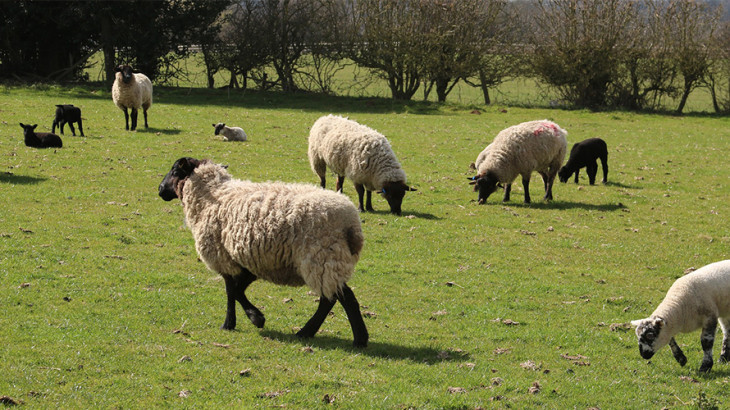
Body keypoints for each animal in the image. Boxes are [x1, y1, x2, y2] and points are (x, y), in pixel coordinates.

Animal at [156, 156, 366, 346]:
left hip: (322, 258)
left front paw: (239, 321)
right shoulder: (248, 260)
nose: (160, 189)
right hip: (331, 261)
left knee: (335, 299)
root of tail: (351, 223)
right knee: (338, 297)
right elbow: (238, 289)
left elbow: (231, 291)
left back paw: (329, 335)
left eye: (175, 170)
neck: (212, 195)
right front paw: (253, 317)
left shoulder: (223, 257)